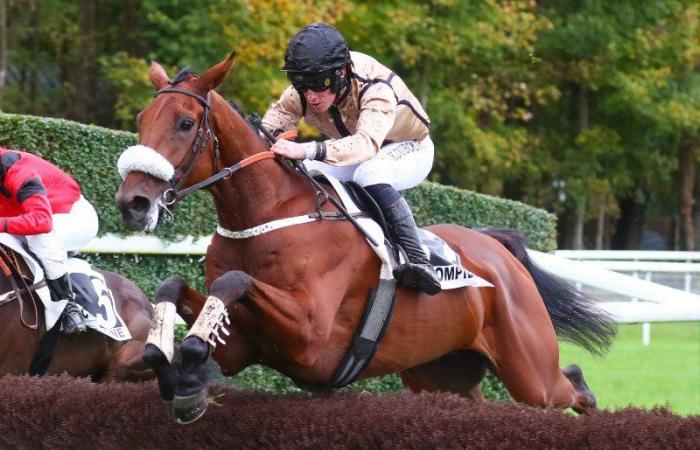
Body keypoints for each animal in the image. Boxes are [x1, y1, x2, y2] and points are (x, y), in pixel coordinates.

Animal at [113, 54, 612, 424]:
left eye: (184, 123)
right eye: (141, 118)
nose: (132, 203)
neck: (266, 215)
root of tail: (498, 251)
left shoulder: (309, 334)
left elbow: (235, 280)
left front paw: (190, 364)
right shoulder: (245, 344)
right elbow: (174, 286)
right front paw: (174, 371)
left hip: (530, 373)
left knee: (572, 384)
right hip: (441, 374)